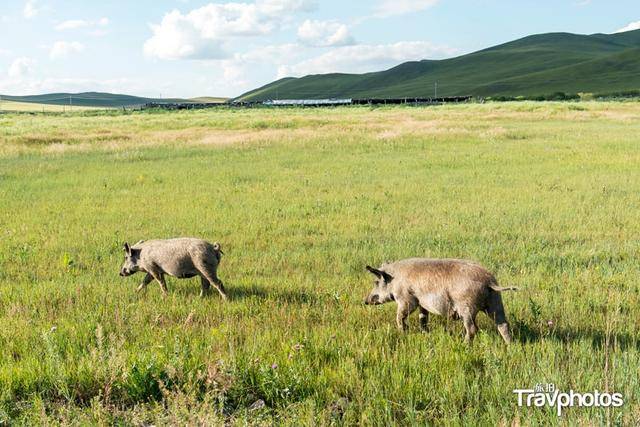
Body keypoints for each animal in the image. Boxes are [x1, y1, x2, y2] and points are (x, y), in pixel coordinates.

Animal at [364, 258, 516, 344]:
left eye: (376, 282)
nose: (365, 301)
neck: (394, 279)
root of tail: (488, 281)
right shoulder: (422, 304)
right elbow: (423, 318)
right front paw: (424, 333)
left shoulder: (407, 299)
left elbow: (400, 316)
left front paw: (403, 333)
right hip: (495, 302)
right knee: (503, 324)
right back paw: (510, 346)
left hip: (466, 306)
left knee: (472, 328)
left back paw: (464, 345)